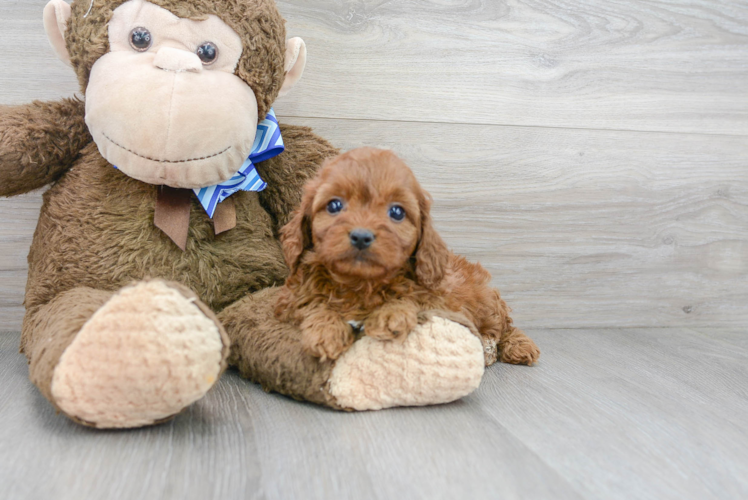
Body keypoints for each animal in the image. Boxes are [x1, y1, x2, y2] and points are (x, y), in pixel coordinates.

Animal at [274, 146, 536, 366]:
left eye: (397, 212)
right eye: (334, 205)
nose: (361, 236)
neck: (360, 283)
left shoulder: (438, 299)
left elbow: (411, 298)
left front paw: (392, 313)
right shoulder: (289, 299)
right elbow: (311, 302)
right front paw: (326, 330)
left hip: (486, 301)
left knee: (504, 326)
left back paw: (510, 347)